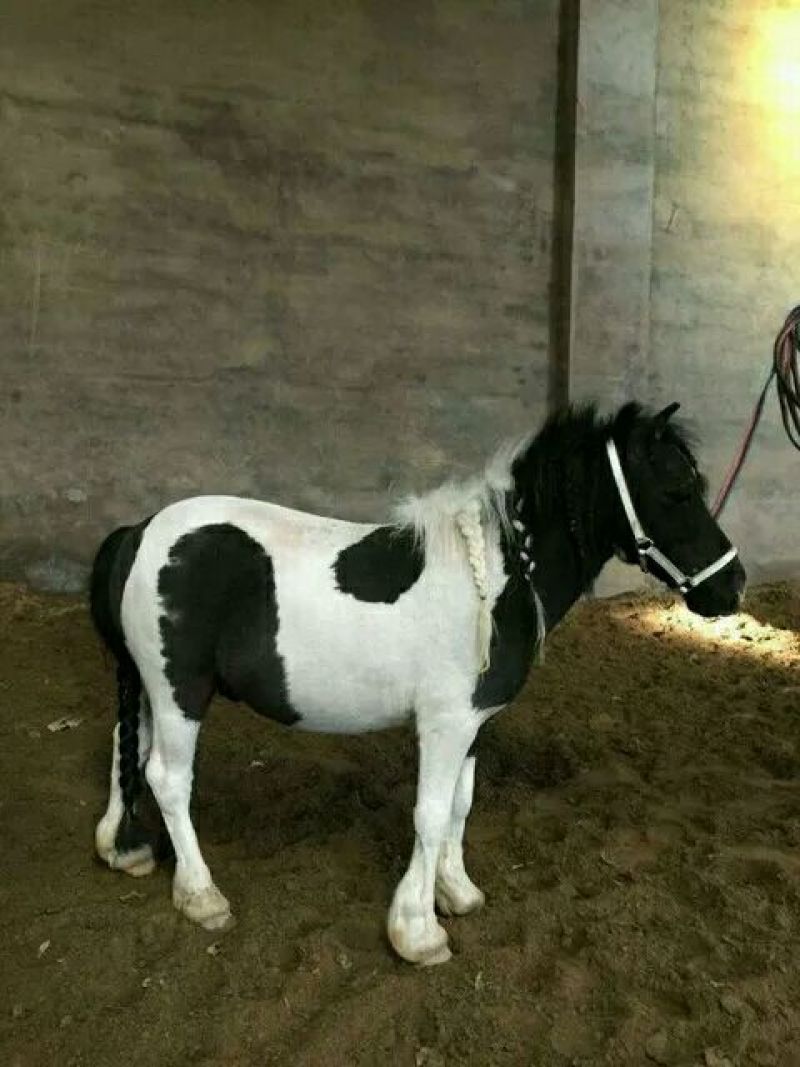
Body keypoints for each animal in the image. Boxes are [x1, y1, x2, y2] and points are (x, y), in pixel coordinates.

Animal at [90, 401, 745, 965]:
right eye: (676, 490)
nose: (732, 585)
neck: (499, 577)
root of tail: (140, 531)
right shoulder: (445, 724)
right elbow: (429, 814)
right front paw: (417, 930)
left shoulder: (475, 723)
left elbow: (460, 805)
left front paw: (456, 892)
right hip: (180, 693)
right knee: (168, 778)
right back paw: (201, 897)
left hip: (152, 690)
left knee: (128, 749)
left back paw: (123, 847)